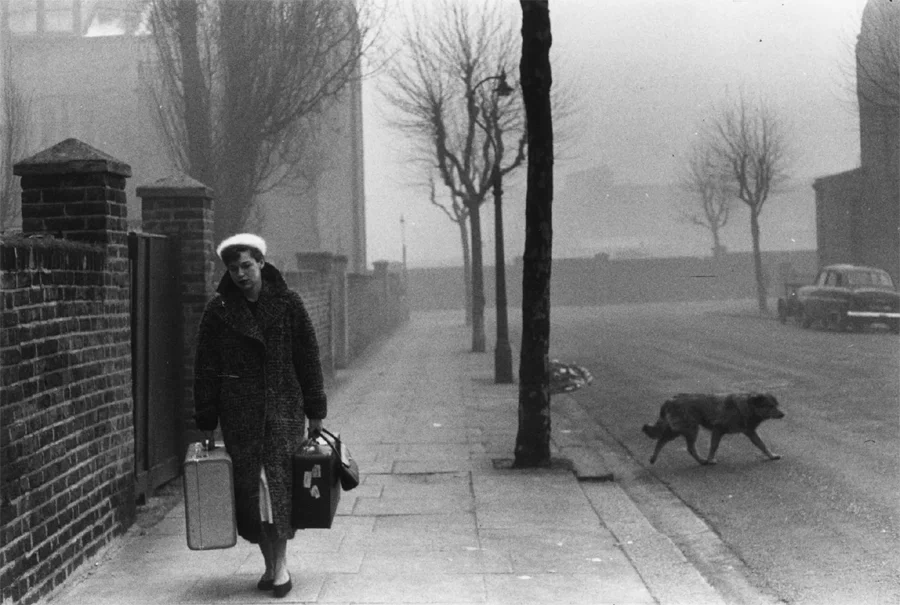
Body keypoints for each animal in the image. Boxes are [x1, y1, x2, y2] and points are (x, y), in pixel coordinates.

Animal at [644, 394, 784, 464]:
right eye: (770, 406)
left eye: (776, 405)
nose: (783, 414)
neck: (748, 406)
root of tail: (670, 400)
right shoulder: (718, 429)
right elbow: (714, 446)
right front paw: (711, 459)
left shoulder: (750, 432)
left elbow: (762, 445)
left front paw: (771, 455)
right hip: (689, 429)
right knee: (686, 447)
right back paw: (702, 461)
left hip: (679, 429)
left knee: (662, 440)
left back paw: (653, 458)